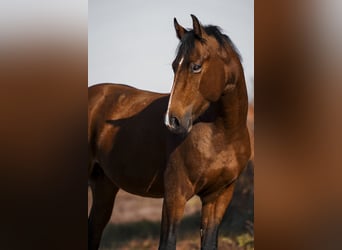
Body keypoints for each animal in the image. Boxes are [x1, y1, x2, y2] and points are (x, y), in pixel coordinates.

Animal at [87, 14, 250, 249]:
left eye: (196, 66)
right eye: (174, 66)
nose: (172, 121)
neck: (222, 135)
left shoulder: (219, 196)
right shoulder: (175, 196)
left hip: (104, 187)